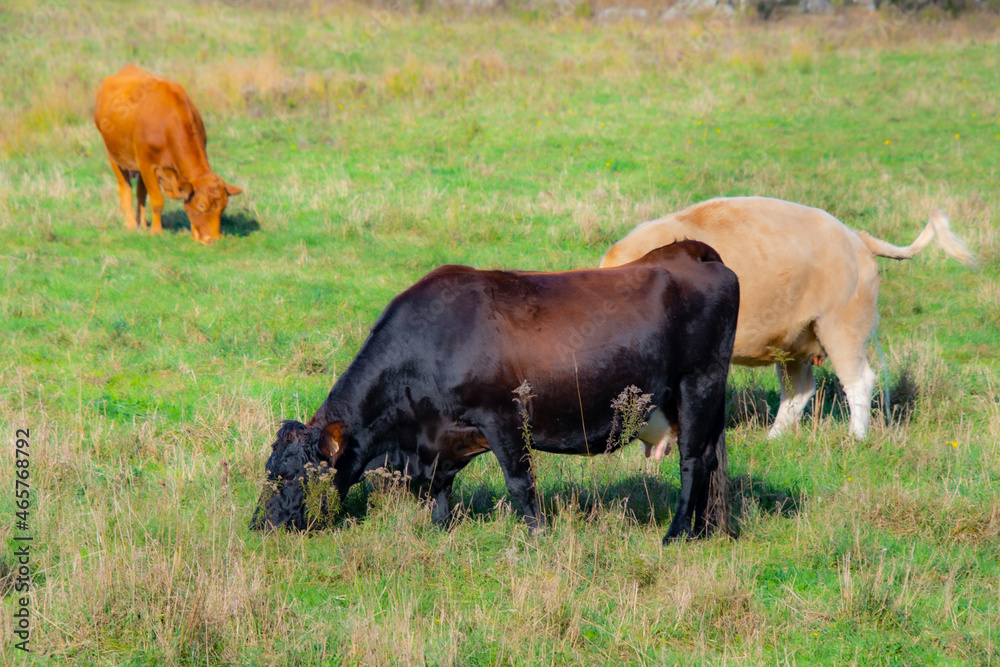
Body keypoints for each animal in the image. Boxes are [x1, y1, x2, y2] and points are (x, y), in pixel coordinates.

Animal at [94, 64, 242, 243]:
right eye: (201, 205)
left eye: (223, 208)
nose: (212, 239)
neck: (167, 126)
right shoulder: (147, 165)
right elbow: (157, 200)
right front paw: (156, 231)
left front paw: (193, 233)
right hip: (114, 155)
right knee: (125, 188)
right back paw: (130, 224)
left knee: (140, 194)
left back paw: (142, 224)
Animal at [254, 240, 740, 544]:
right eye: (269, 469)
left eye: (291, 476)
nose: (260, 525)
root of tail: (691, 252)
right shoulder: (440, 437)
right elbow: (440, 488)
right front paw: (440, 530)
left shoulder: (503, 416)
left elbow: (520, 483)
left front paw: (538, 537)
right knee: (711, 461)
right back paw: (706, 531)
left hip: (698, 384)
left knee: (694, 461)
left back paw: (677, 534)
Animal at [600, 196, 976, 444]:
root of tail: (854, 236)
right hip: (795, 341)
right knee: (801, 389)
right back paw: (774, 437)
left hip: (842, 327)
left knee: (859, 380)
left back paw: (856, 437)